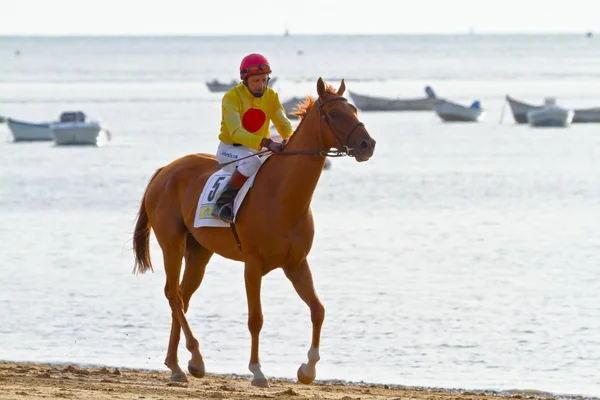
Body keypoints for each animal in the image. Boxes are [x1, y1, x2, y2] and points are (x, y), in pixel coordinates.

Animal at [132, 76, 376, 386]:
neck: (283, 197)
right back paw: (195, 357)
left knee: (183, 297)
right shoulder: (252, 265)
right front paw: (257, 370)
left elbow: (318, 310)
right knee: (173, 295)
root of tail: (165, 170)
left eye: (354, 110)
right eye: (334, 114)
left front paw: (308, 369)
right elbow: (255, 318)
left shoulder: (296, 264)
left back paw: (177, 364)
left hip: (199, 251)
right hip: (171, 243)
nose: (368, 144)